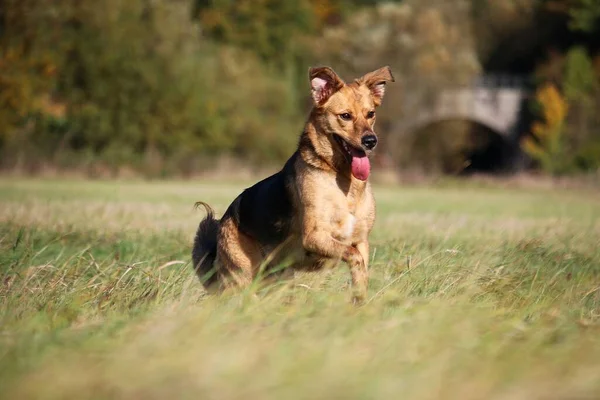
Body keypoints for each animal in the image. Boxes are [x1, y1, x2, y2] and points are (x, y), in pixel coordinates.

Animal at [192, 66, 396, 304]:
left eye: (370, 114)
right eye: (345, 116)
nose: (371, 141)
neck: (342, 179)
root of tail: (226, 220)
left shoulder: (361, 241)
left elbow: (360, 271)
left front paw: (360, 303)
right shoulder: (315, 237)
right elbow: (354, 258)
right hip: (241, 278)